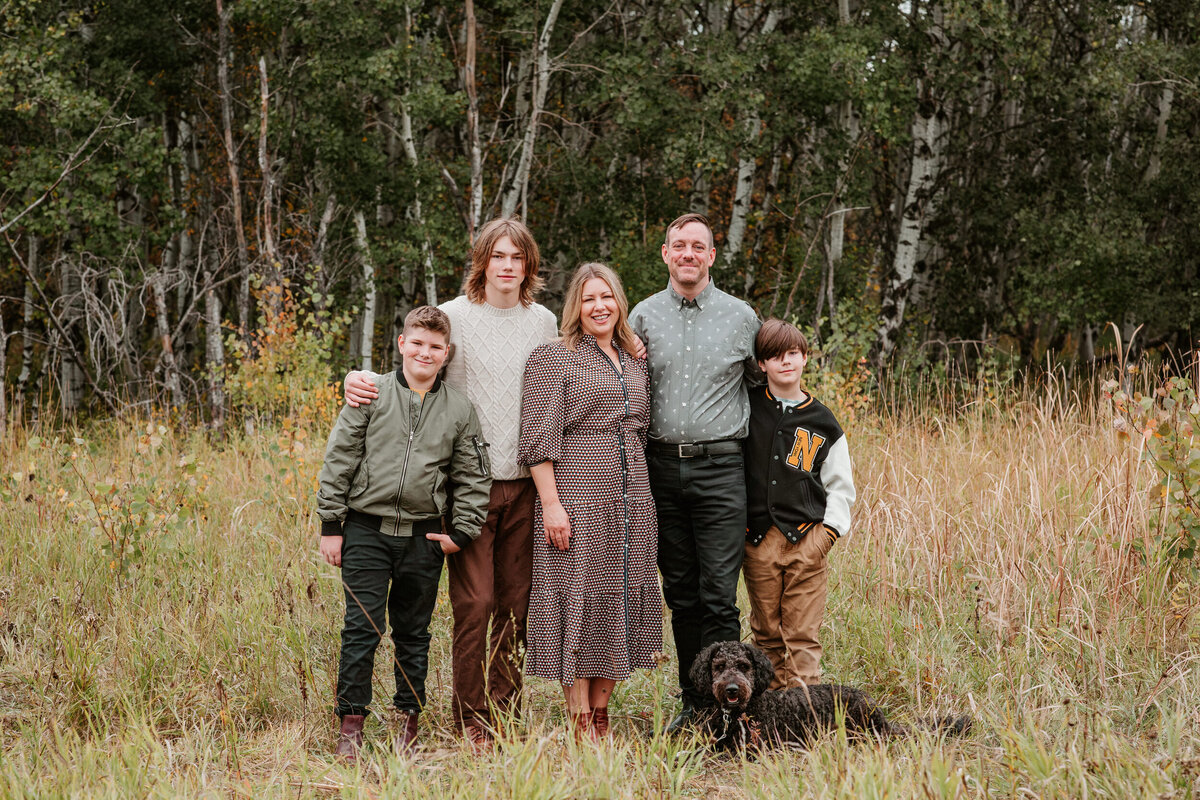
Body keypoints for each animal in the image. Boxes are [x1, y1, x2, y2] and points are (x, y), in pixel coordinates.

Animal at [691, 642, 969, 753]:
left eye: (743, 666)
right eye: (719, 667)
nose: (732, 689)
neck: (736, 714)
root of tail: (880, 715)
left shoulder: (755, 748)